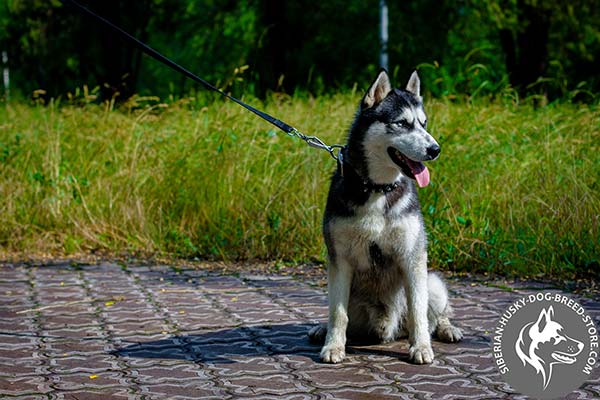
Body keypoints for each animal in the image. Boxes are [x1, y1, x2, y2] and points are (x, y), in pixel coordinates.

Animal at [308, 70, 462, 364]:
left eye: (424, 123)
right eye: (402, 123)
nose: (435, 149)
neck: (378, 188)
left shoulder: (413, 259)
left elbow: (417, 312)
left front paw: (421, 347)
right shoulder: (339, 260)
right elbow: (338, 314)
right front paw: (333, 346)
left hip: (433, 282)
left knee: (436, 315)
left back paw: (447, 329)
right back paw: (321, 329)